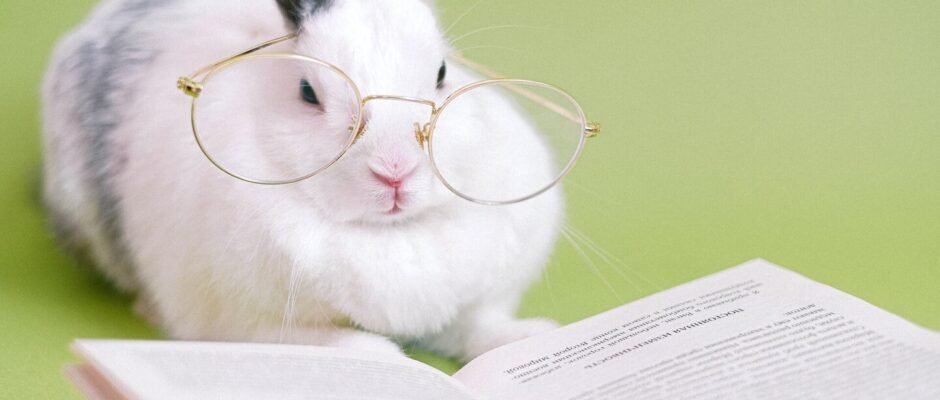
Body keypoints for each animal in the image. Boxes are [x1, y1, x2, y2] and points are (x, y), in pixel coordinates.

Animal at [41, 0, 564, 361]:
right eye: (308, 92)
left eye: (441, 73)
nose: (395, 170)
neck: (389, 235)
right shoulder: (244, 323)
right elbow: (327, 344)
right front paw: (383, 359)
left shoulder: (472, 304)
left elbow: (480, 328)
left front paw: (535, 336)